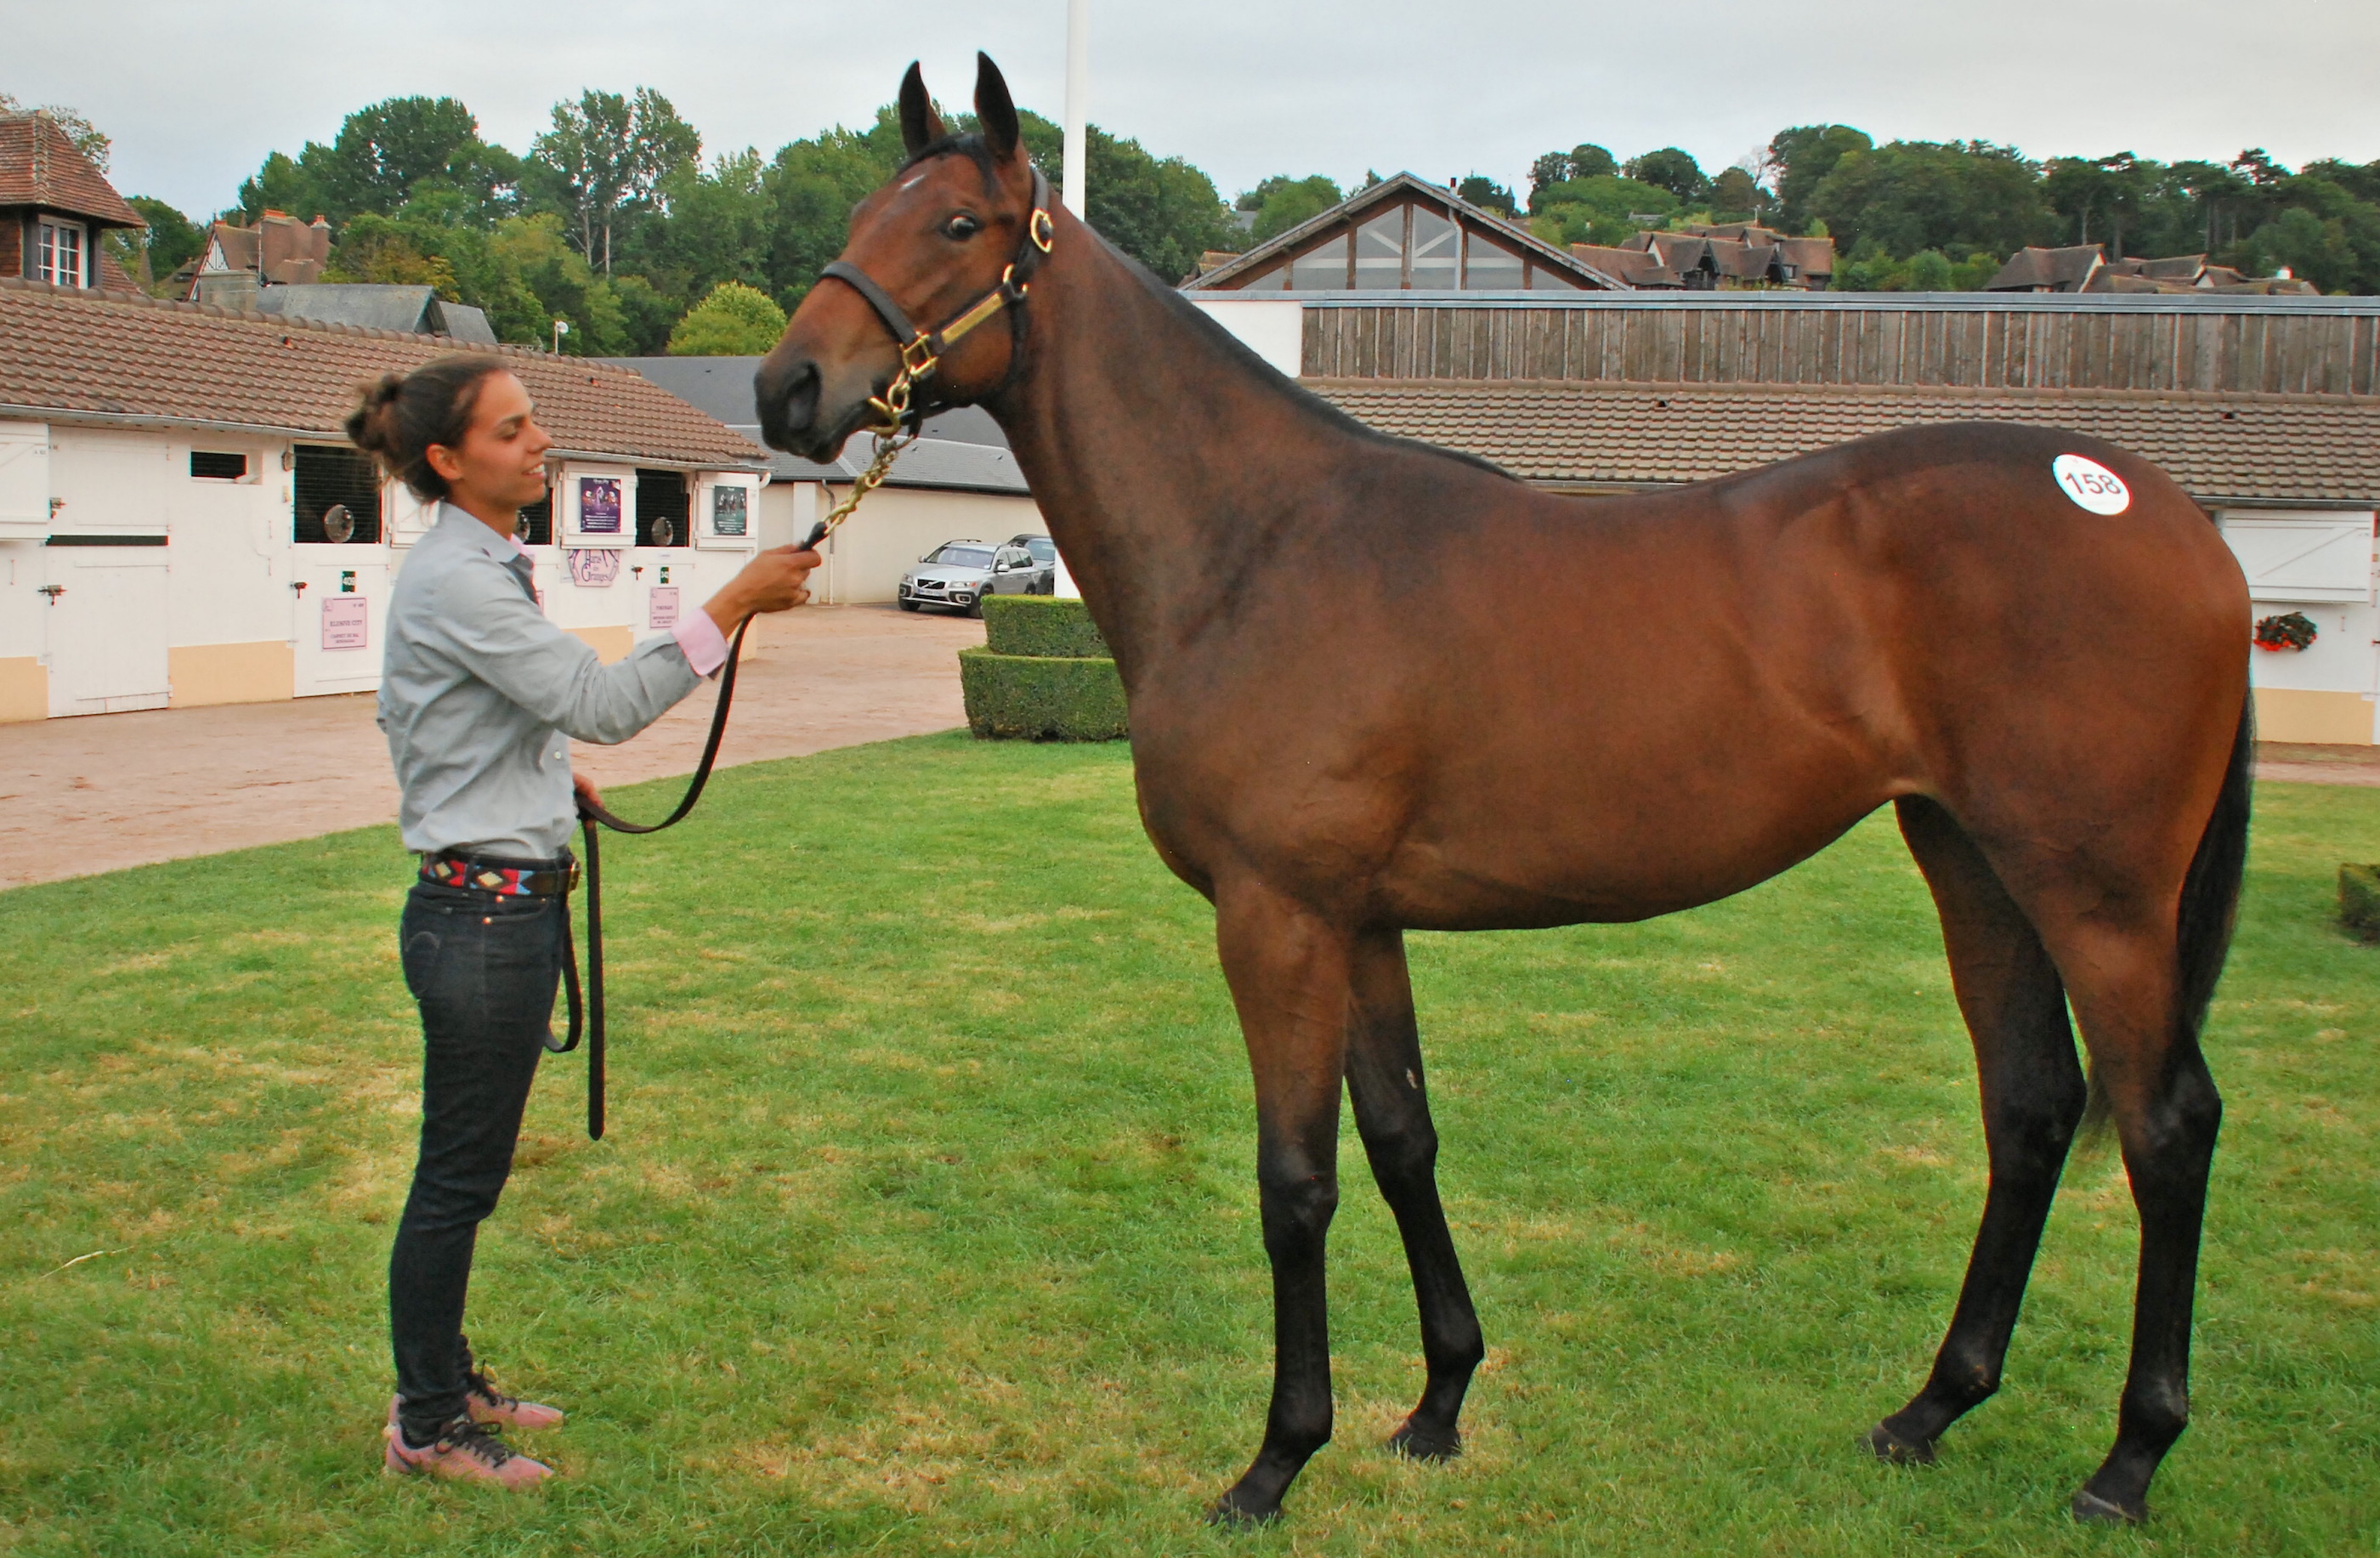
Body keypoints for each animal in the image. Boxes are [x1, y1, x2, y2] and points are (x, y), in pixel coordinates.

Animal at [756, 54, 2247, 1532]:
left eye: (958, 225)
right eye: (865, 209)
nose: (787, 388)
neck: (1262, 546)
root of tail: (2175, 521)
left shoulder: (1278, 917)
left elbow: (1296, 1182)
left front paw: (1277, 1458)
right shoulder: (1360, 922)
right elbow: (1402, 1138)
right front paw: (1437, 1403)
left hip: (2099, 896)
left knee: (2167, 1126)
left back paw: (2129, 1461)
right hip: (1975, 862)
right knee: (2031, 1110)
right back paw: (1931, 1409)